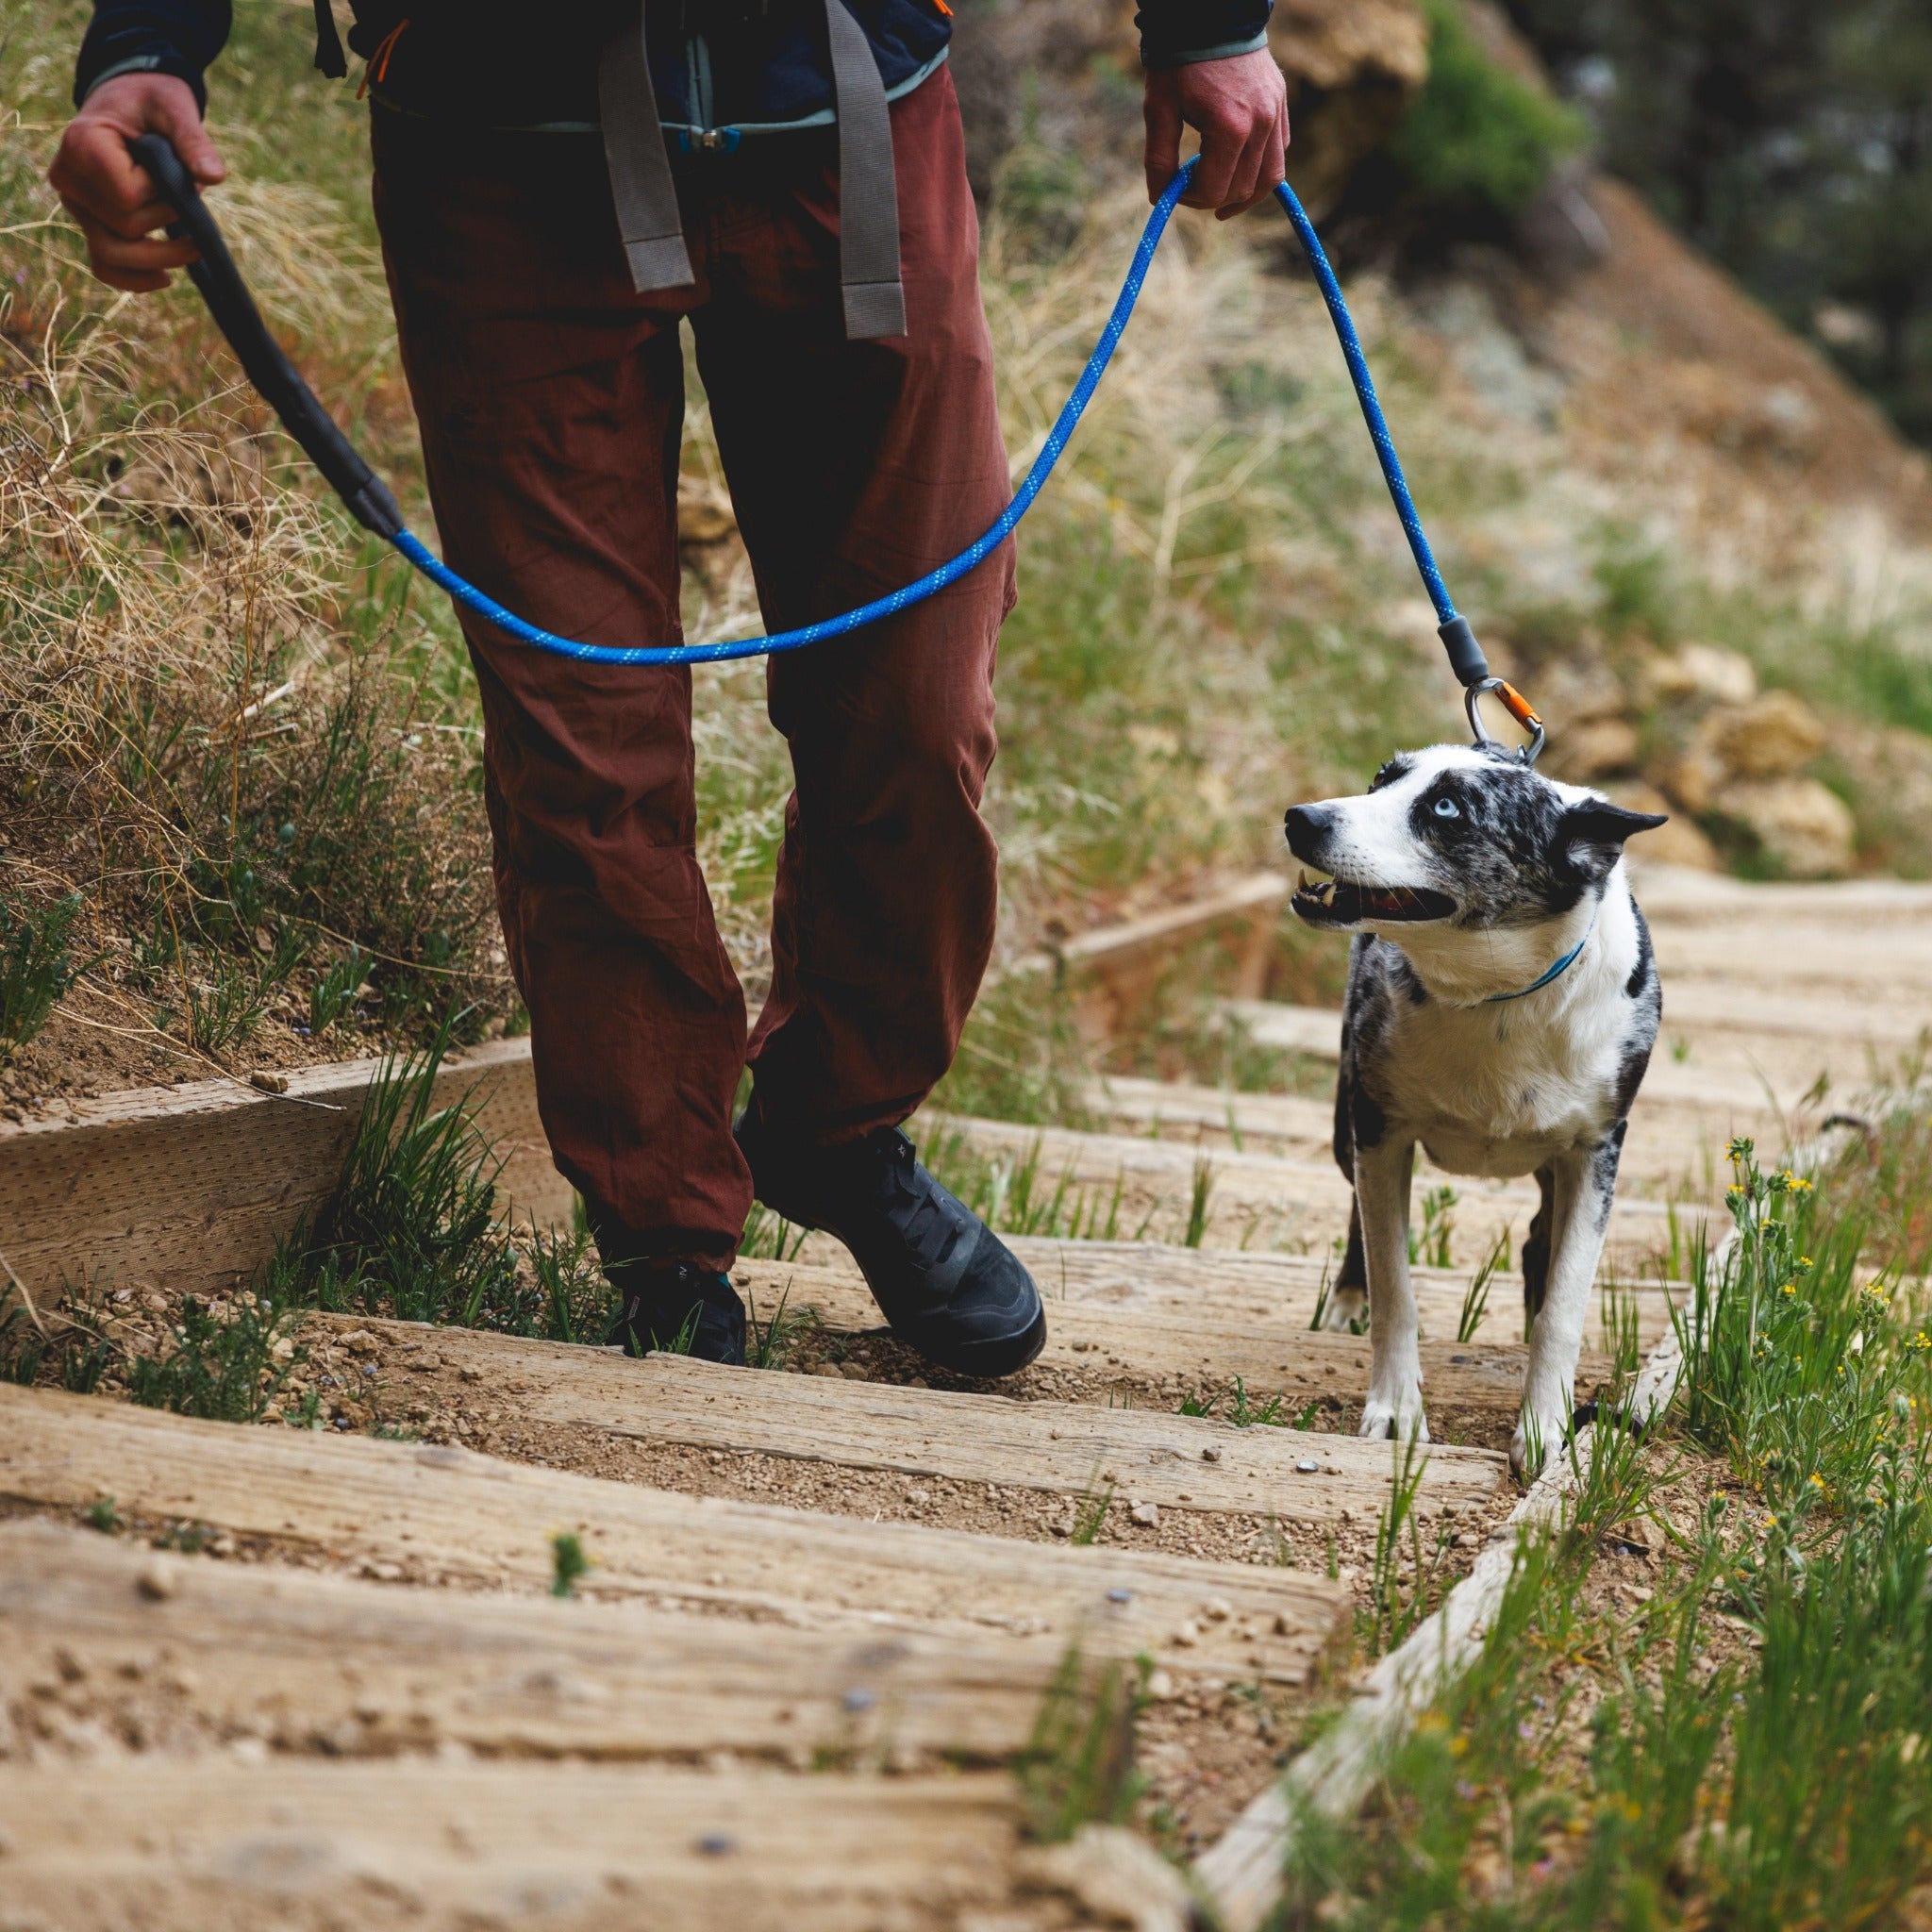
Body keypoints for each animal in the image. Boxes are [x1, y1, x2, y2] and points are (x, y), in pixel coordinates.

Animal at [1282, 745, 1661, 1468]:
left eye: (1447, 808)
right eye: (1382, 778)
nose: (1301, 817)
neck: (1495, 997)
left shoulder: (1597, 1150)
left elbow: (1565, 1306)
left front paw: (1546, 1426)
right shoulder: (1379, 1128)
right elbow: (1394, 1284)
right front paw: (1396, 1410)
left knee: (1541, 1239)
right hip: (1348, 1118)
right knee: (1357, 1213)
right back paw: (1347, 1297)